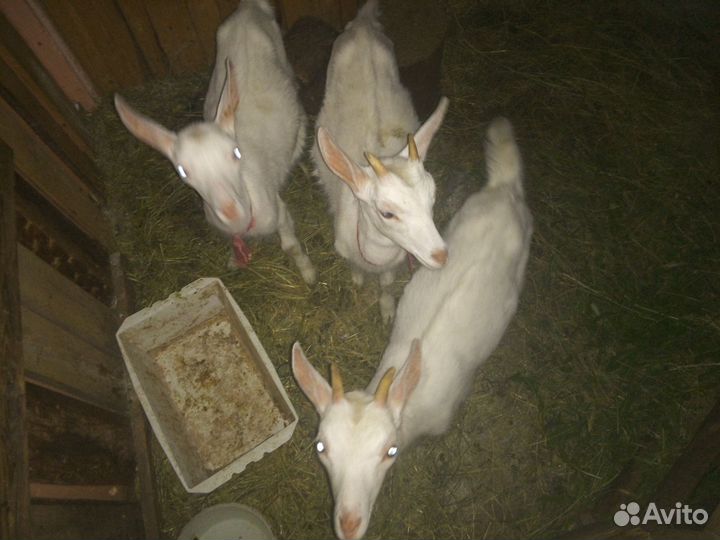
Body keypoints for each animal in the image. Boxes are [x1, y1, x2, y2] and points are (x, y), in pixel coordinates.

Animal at [114, 0, 315, 283]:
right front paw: (233, 260)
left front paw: (308, 273)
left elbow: (290, 245)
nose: (232, 214)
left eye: (236, 153)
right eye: (182, 171)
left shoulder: (279, 211)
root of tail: (249, 8)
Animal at [312, 0, 449, 322]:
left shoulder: (394, 262)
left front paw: (387, 311)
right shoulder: (345, 248)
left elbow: (386, 286)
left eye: (432, 198)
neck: (376, 256)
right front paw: (358, 280)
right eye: (387, 213)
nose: (441, 255)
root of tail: (363, 23)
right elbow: (354, 268)